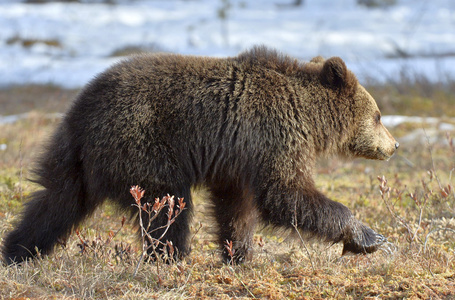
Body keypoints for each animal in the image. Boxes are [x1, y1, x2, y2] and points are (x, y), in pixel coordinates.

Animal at [0, 45, 400, 264]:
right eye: (379, 115)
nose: (394, 145)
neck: (308, 117)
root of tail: (82, 112)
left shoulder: (236, 157)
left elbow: (236, 208)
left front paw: (239, 255)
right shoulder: (272, 137)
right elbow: (285, 193)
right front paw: (369, 237)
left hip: (73, 157)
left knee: (56, 202)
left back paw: (17, 250)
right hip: (145, 145)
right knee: (167, 206)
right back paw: (170, 258)